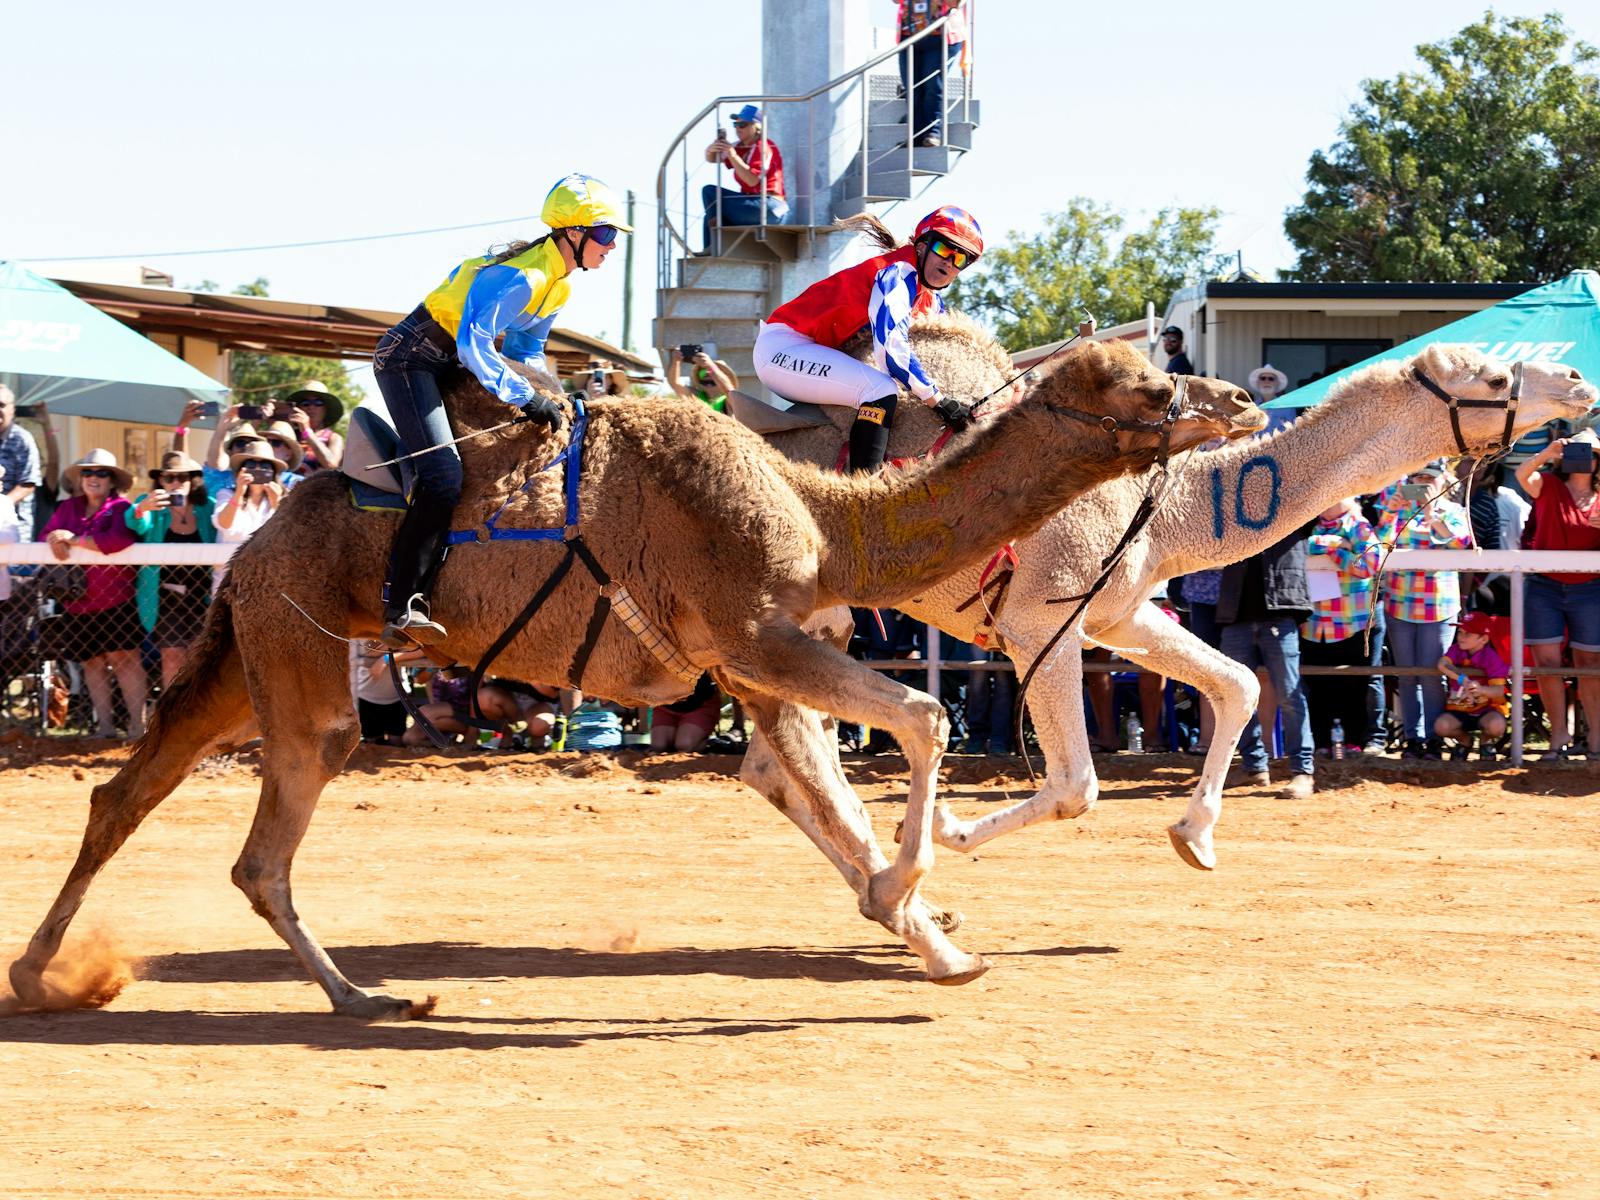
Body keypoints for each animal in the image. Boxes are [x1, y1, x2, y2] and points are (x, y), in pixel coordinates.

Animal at [12, 339, 1260, 1024]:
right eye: (1151, 390)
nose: (1240, 401)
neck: (827, 520)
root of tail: (252, 546)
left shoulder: (747, 661)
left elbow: (820, 779)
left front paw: (930, 933)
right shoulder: (749, 632)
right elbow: (917, 715)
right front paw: (916, 905)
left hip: (244, 651)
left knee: (123, 793)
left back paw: (38, 975)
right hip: (298, 654)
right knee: (260, 845)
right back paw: (363, 996)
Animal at [752, 342, 1600, 908]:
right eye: (1495, 378)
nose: (1578, 381)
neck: (1175, 507)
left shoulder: (1118, 614)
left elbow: (1238, 685)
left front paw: (1196, 837)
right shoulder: (1037, 623)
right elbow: (1076, 784)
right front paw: (953, 830)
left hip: (810, 618)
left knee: (774, 763)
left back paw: (893, 895)